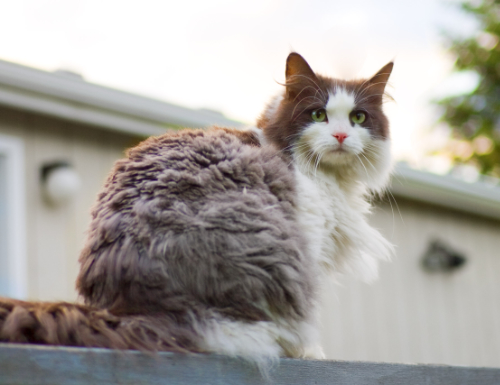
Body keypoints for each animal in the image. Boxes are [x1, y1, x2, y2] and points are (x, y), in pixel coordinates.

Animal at [0, 51, 394, 366]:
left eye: (358, 118)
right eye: (318, 115)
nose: (341, 136)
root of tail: (130, 304)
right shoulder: (308, 236)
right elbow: (308, 314)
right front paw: (310, 352)